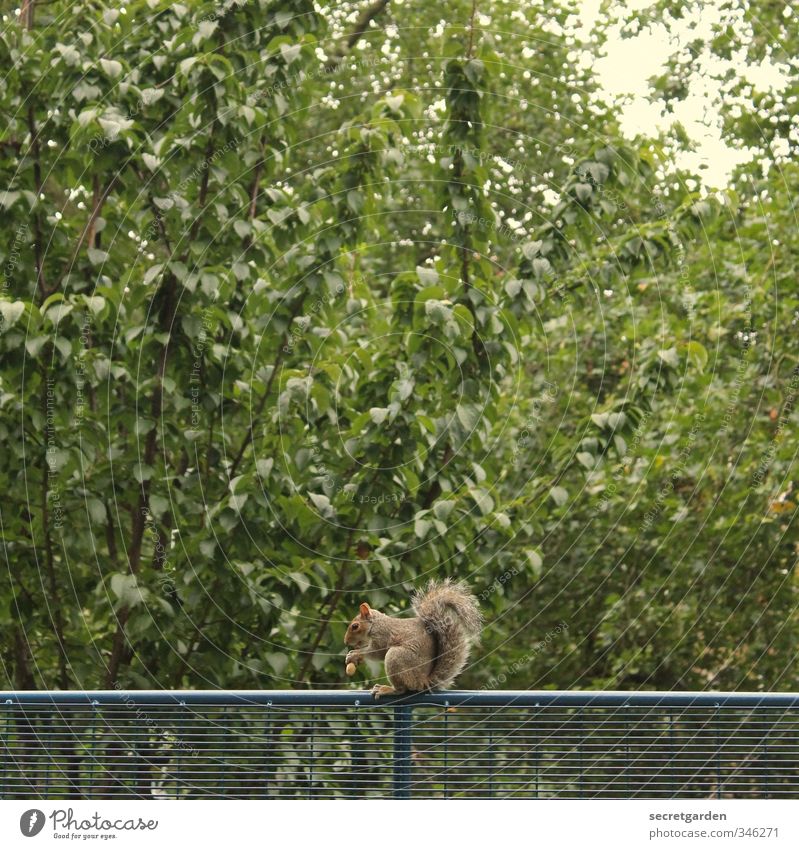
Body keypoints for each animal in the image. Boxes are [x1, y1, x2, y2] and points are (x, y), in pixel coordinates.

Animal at [344, 576, 482, 704]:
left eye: (355, 626)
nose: (346, 642)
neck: (375, 624)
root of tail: (424, 681)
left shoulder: (383, 636)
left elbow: (377, 653)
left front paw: (355, 654)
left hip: (396, 657)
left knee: (402, 689)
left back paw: (386, 689)